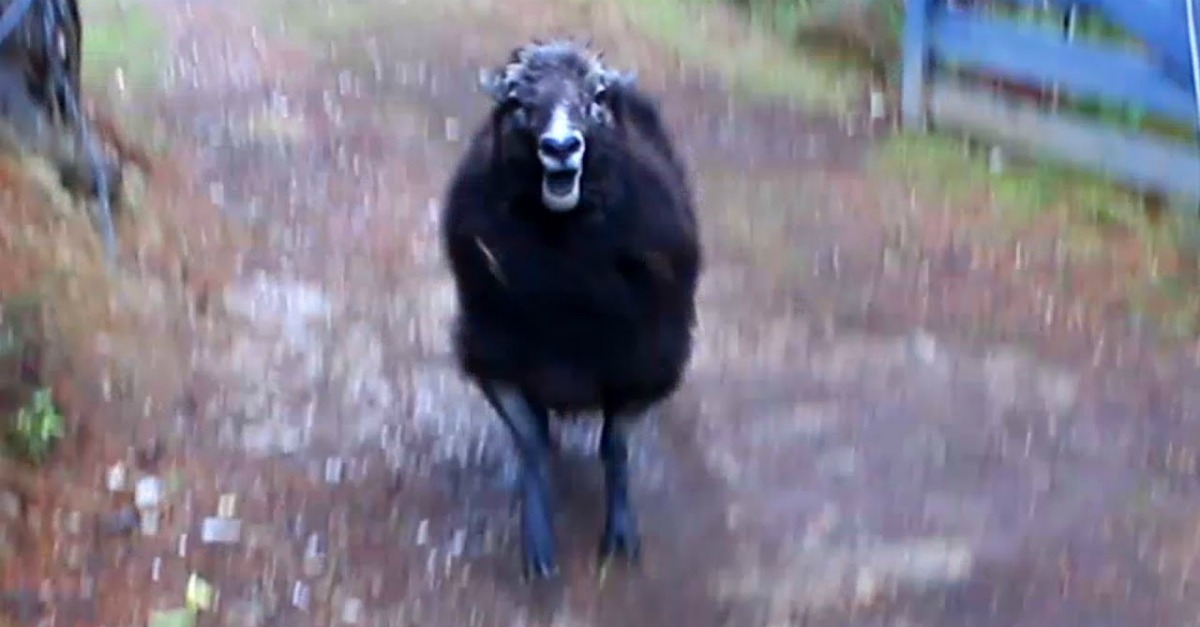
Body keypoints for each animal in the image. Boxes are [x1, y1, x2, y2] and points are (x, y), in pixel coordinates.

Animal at [441, 37, 700, 576]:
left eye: (596, 96)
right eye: (517, 102)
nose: (560, 147)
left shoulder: (647, 361)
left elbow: (615, 446)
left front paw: (620, 533)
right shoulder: (493, 353)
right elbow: (532, 444)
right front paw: (538, 542)